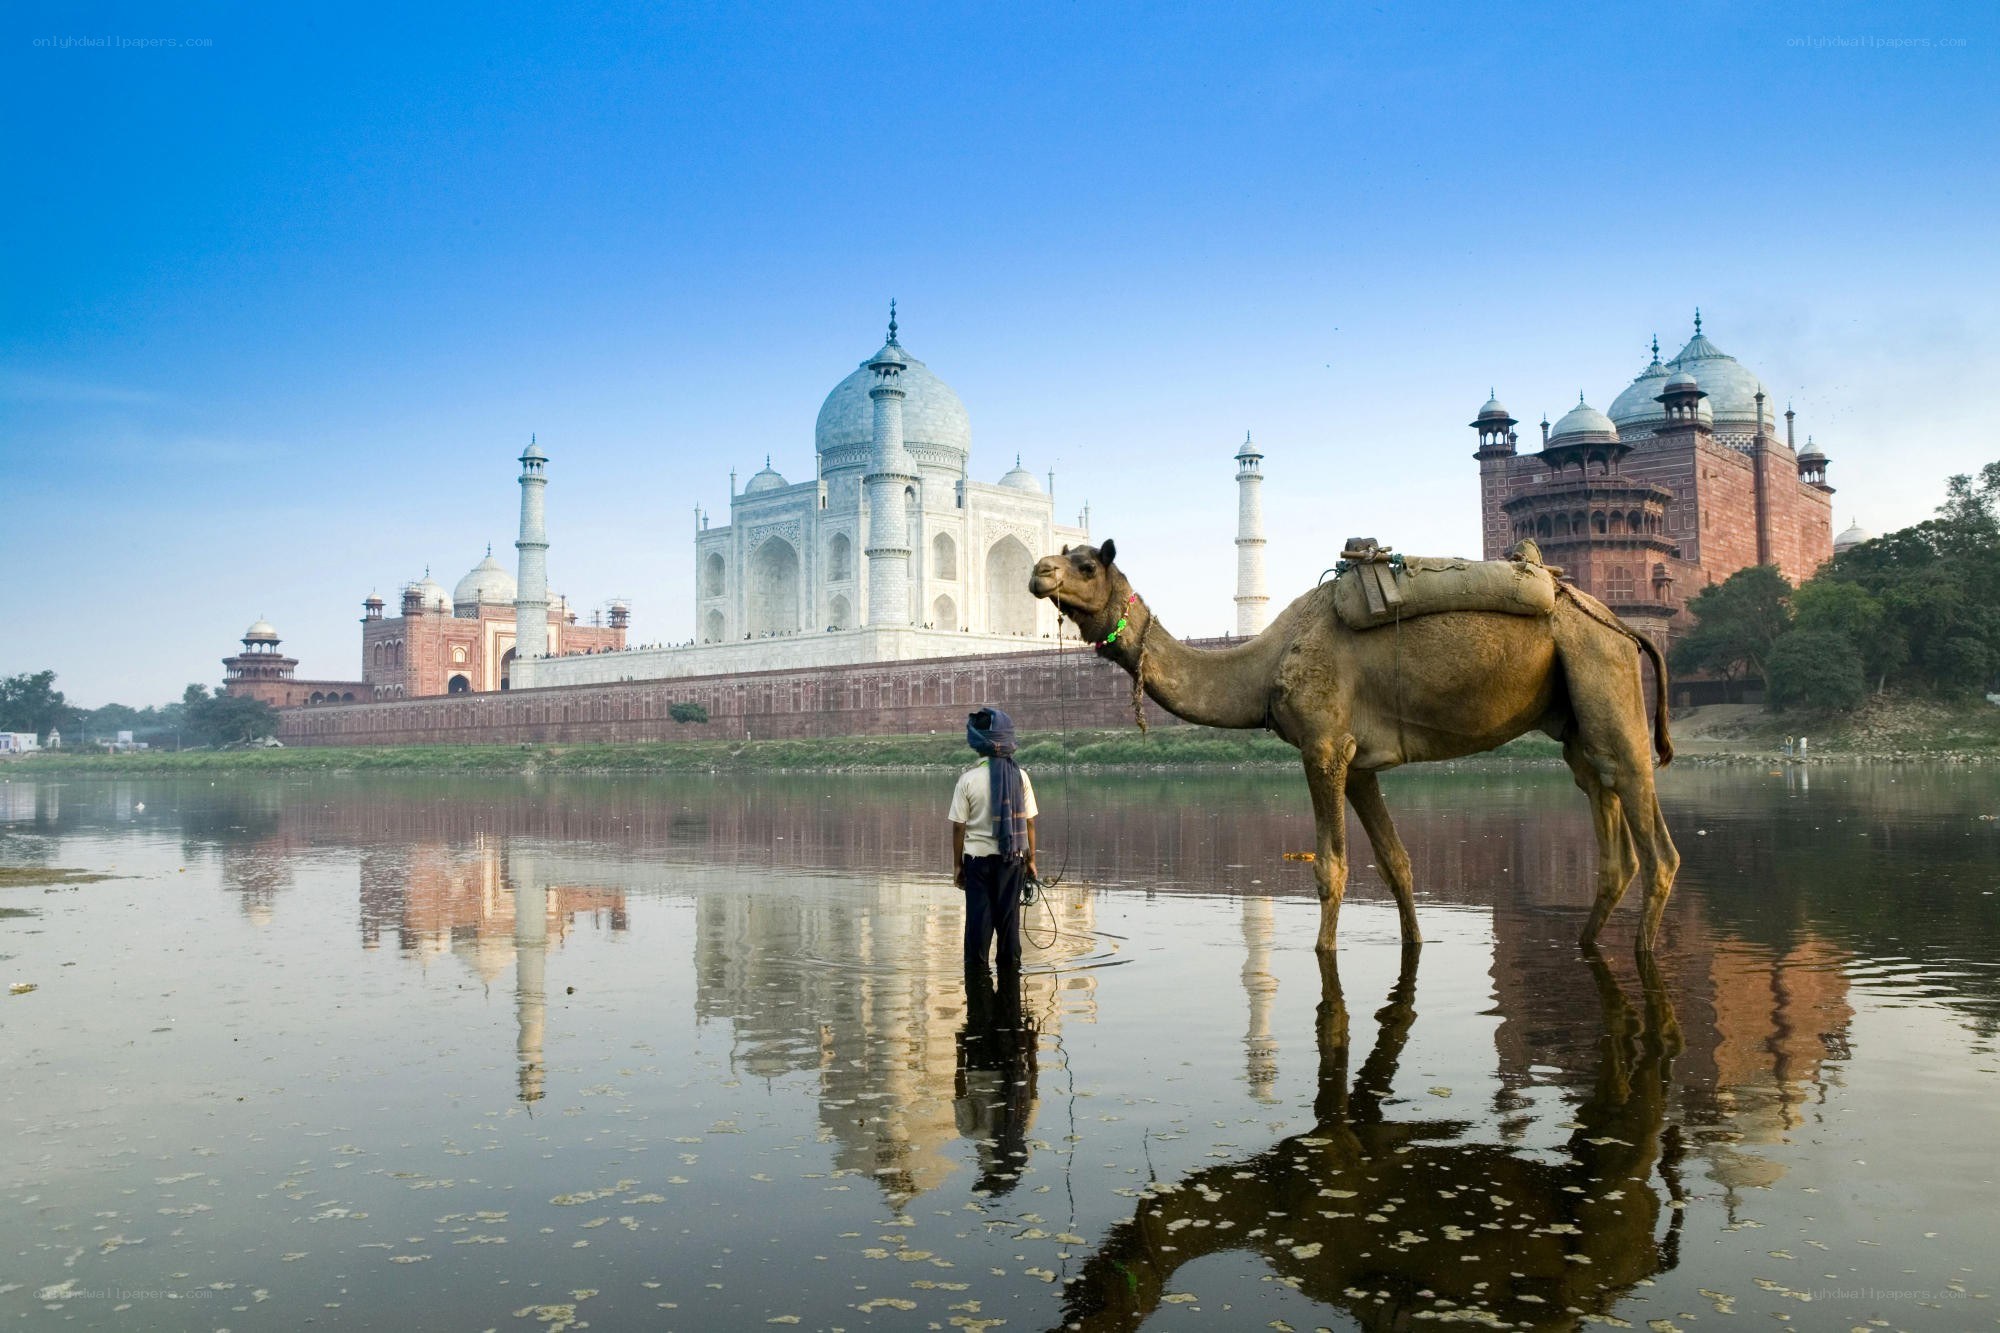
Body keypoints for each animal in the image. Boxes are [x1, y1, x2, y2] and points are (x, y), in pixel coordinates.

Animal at [1029, 541, 1679, 952]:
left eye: (1085, 564)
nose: (1039, 572)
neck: (1265, 664)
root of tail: (1624, 625)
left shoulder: (1323, 744)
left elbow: (1331, 868)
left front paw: (1324, 952)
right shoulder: (1360, 763)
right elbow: (1396, 863)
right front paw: (1415, 940)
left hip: (1603, 671)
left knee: (1655, 838)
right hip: (1575, 719)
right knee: (1607, 821)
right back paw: (1586, 944)